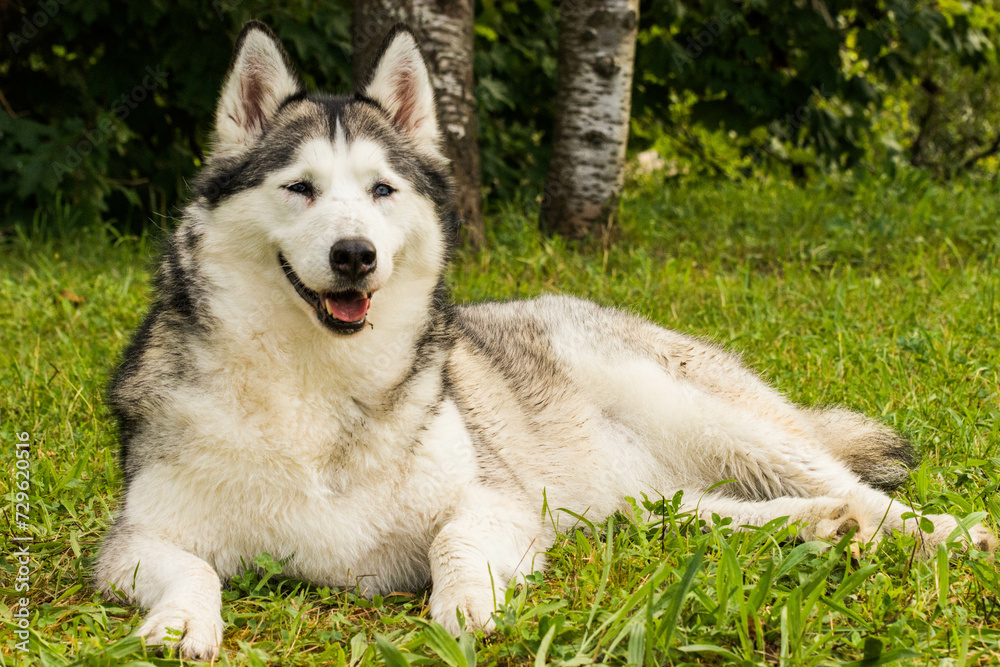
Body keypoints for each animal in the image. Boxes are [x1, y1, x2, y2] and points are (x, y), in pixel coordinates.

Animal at [92, 20, 992, 664]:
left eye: (381, 190)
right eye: (300, 188)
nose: (355, 255)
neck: (321, 385)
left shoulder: (500, 502)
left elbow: (454, 540)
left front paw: (463, 608)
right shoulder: (134, 541)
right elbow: (190, 567)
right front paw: (180, 625)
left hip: (711, 416)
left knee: (864, 489)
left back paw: (944, 532)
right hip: (646, 506)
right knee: (736, 512)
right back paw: (819, 526)